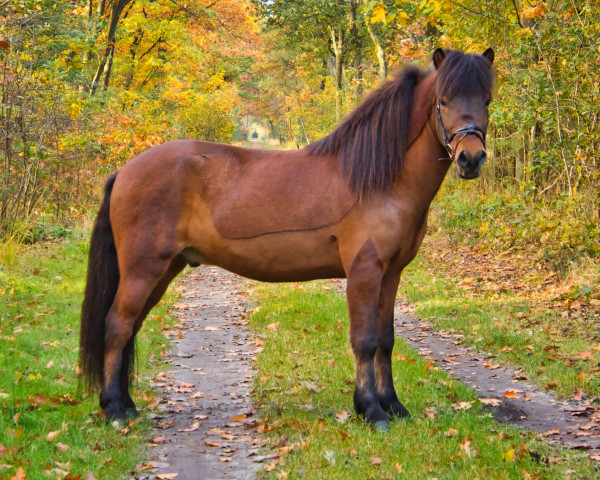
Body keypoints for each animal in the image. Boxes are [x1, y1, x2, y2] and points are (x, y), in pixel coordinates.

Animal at [81, 48, 496, 430]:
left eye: (487, 100)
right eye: (444, 101)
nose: (470, 158)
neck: (378, 179)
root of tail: (124, 171)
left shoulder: (390, 275)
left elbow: (387, 340)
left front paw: (393, 406)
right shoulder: (364, 272)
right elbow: (365, 340)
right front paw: (371, 410)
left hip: (165, 268)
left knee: (131, 327)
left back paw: (128, 404)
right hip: (143, 269)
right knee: (118, 325)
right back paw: (114, 409)